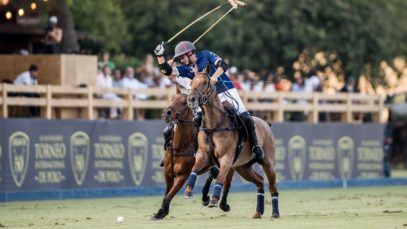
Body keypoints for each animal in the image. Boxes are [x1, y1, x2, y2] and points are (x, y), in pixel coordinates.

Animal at [185, 65, 280, 218]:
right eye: (192, 82)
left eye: (205, 83)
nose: (191, 99)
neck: (214, 125)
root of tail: (266, 124)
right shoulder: (203, 155)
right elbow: (194, 170)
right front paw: (188, 190)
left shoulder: (226, 158)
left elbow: (220, 179)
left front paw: (214, 199)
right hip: (243, 167)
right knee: (260, 181)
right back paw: (258, 212)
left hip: (268, 162)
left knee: (273, 187)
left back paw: (275, 213)